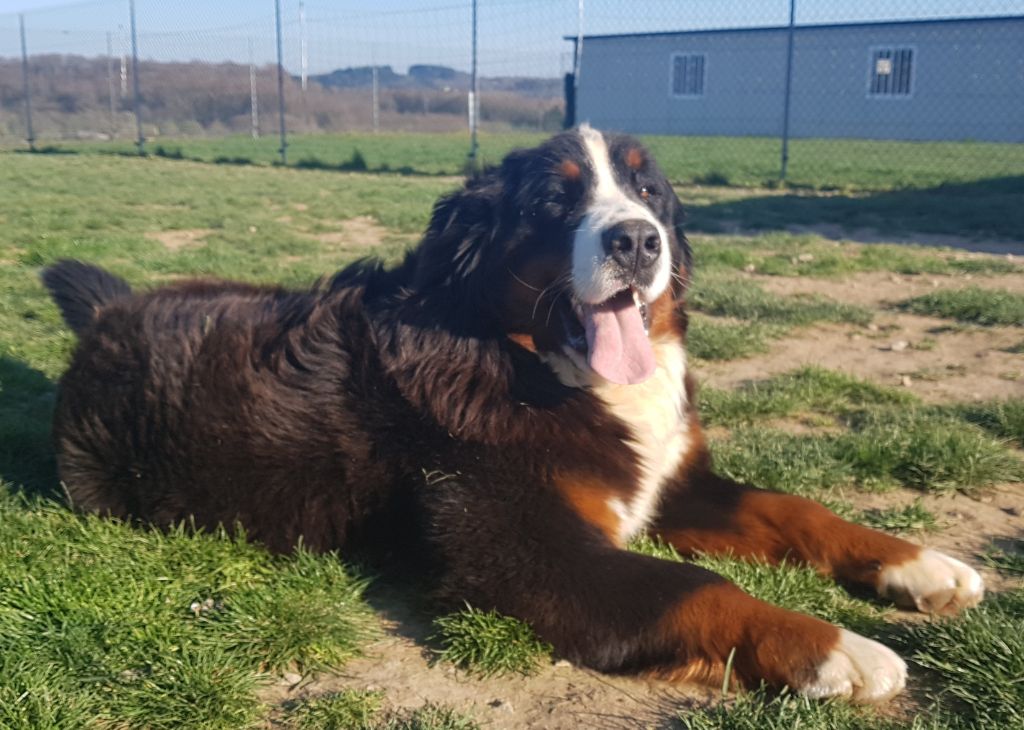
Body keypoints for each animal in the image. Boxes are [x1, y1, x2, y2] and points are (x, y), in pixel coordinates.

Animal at [43, 125, 983, 703]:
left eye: (648, 189)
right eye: (554, 203)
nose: (636, 239)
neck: (533, 365)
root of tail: (110, 312)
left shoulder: (666, 486)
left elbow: (798, 509)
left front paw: (922, 566)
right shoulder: (534, 554)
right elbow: (699, 588)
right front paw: (838, 650)